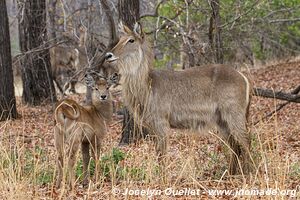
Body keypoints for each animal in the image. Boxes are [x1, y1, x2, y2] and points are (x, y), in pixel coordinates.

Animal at [106, 22, 253, 174]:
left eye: (131, 40)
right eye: (120, 39)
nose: (108, 55)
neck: (147, 85)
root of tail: (243, 77)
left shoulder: (161, 123)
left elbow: (162, 154)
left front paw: (163, 177)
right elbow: (159, 153)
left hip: (234, 115)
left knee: (246, 142)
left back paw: (248, 172)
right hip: (222, 120)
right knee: (235, 146)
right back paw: (231, 173)